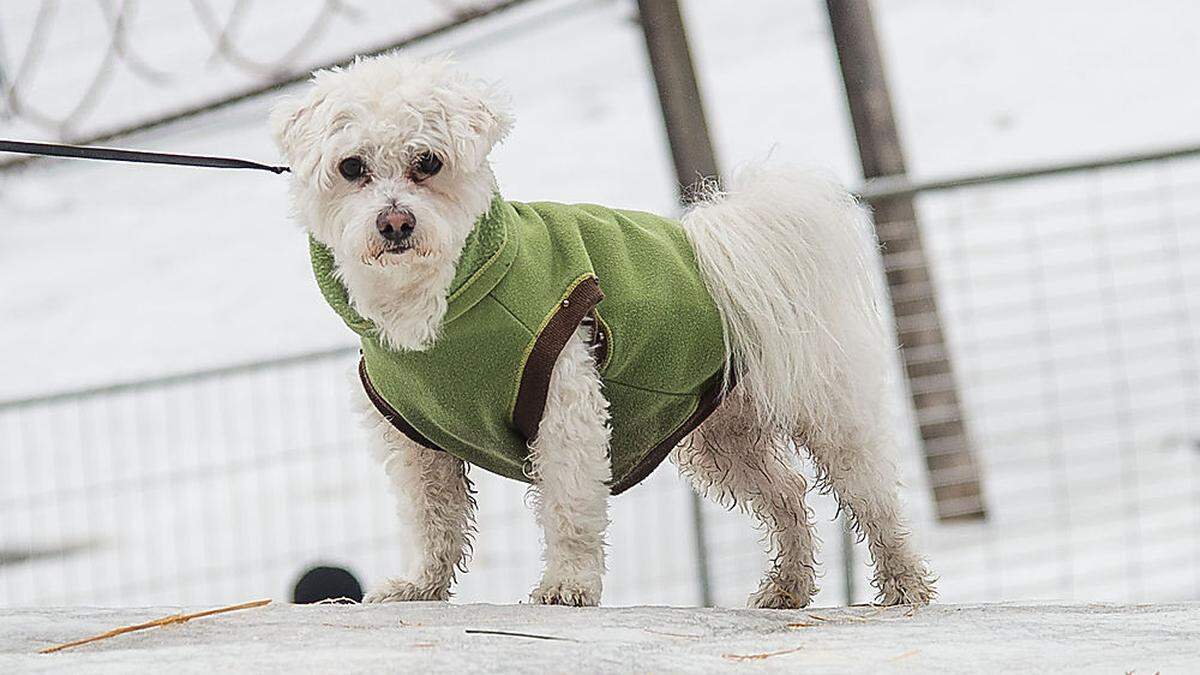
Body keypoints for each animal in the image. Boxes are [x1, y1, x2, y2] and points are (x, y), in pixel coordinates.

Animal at [274, 55, 936, 607]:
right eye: (352, 168)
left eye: (428, 162)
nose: (395, 223)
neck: (439, 304)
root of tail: (724, 241)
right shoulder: (416, 440)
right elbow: (434, 520)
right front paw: (421, 586)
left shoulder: (563, 401)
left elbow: (568, 505)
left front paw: (567, 585)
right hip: (724, 436)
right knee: (790, 493)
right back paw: (788, 588)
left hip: (825, 408)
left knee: (872, 495)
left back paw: (904, 585)